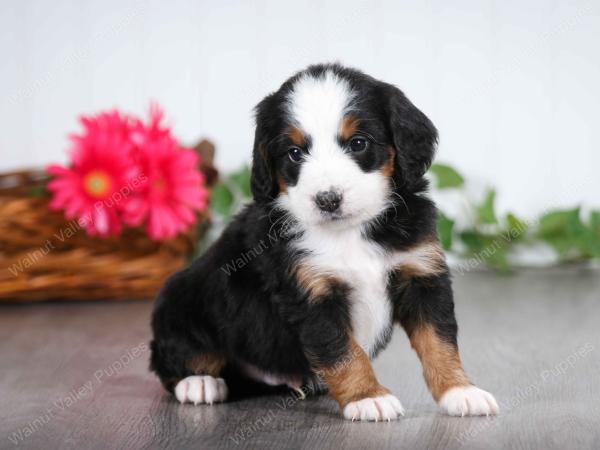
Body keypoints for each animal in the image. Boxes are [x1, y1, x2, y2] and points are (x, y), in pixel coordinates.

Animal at [150, 63, 496, 422]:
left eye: (358, 143)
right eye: (294, 153)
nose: (327, 199)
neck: (350, 231)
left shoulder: (421, 273)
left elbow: (439, 340)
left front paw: (460, 390)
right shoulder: (312, 294)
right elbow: (343, 351)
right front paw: (368, 396)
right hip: (179, 301)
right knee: (173, 361)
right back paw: (199, 383)